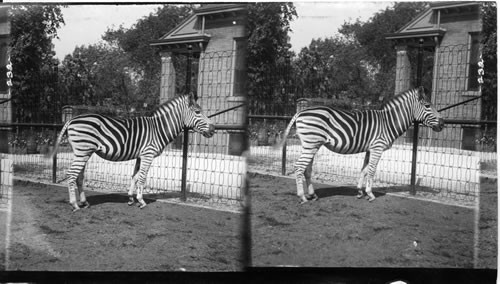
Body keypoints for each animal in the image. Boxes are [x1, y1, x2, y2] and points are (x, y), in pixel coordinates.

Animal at [47, 93, 216, 211]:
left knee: (79, 177)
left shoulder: (140, 156)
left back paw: (84, 202)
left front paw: (130, 199)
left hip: (83, 152)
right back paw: (75, 204)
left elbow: (135, 176)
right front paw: (141, 201)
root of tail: (71, 119)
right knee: (72, 175)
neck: (158, 129)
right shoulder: (148, 154)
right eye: (198, 112)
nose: (214, 129)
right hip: (83, 151)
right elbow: (142, 178)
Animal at [278, 87, 446, 204]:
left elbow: (364, 169)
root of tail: (301, 112)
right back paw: (302, 197)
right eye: (427, 105)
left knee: (307, 169)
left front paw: (360, 191)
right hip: (311, 143)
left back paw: (312, 195)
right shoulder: (377, 147)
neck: (388, 122)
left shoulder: (369, 149)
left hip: (311, 144)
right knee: (299, 167)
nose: (443, 123)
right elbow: (371, 170)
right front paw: (370, 194)